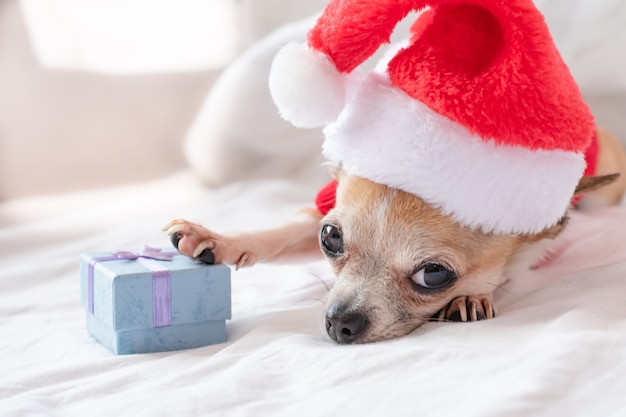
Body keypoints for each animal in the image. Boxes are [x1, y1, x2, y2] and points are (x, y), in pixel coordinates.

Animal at [163, 128, 620, 342]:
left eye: (434, 275)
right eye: (330, 238)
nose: (339, 323)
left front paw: (470, 297)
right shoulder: (319, 210)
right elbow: (281, 232)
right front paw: (220, 239)